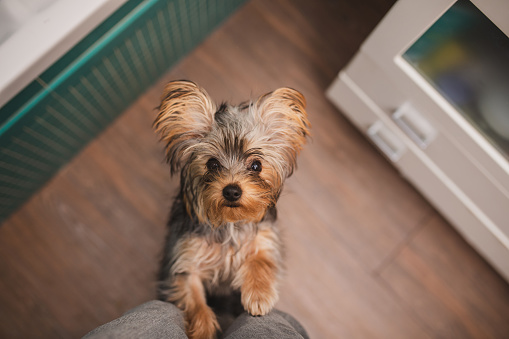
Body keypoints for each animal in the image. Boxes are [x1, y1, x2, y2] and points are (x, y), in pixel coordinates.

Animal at [153, 81, 308, 338]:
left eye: (256, 165)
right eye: (212, 164)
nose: (232, 191)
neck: (229, 222)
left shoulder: (264, 238)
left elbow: (261, 259)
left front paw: (259, 296)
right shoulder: (185, 260)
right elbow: (193, 299)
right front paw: (204, 330)